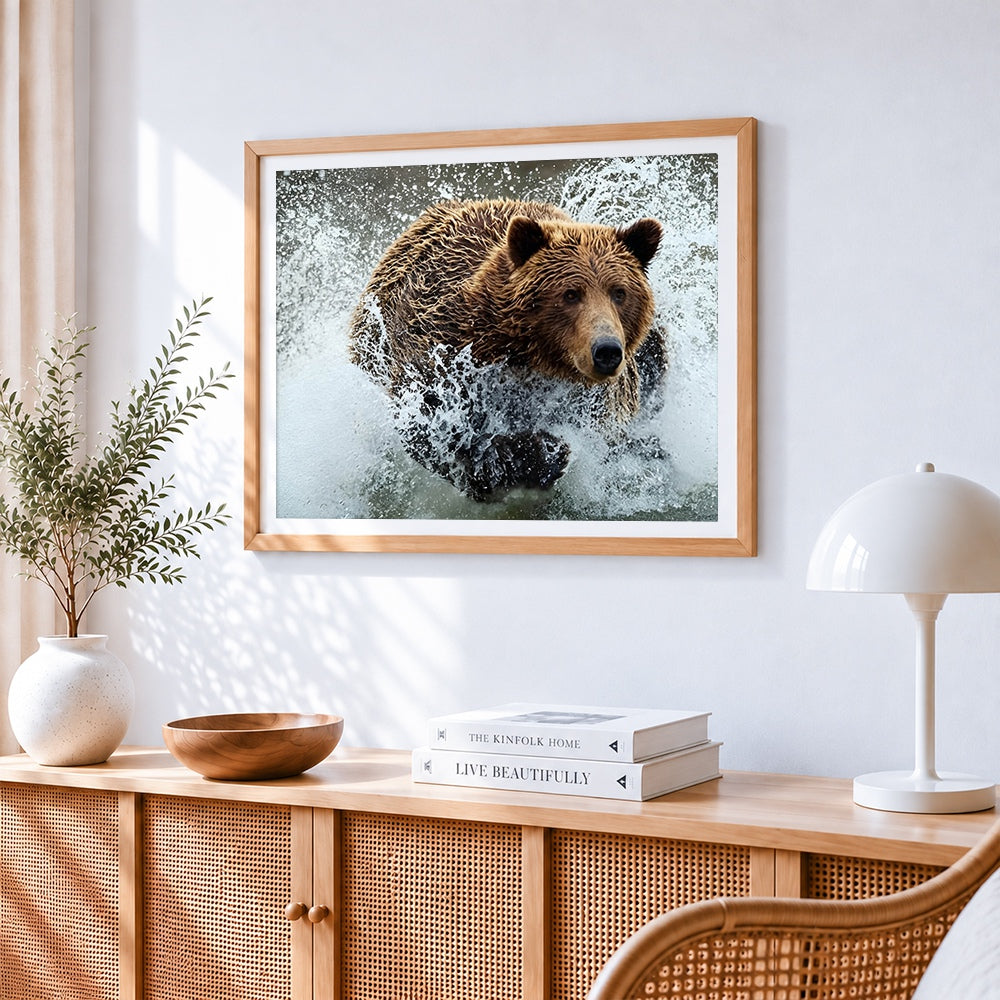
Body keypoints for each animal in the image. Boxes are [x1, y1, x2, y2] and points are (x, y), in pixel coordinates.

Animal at [348, 198, 665, 503]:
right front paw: (523, 457)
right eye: (571, 293)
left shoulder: (597, 399)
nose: (606, 351)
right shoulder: (444, 347)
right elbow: (432, 419)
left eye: (619, 292)